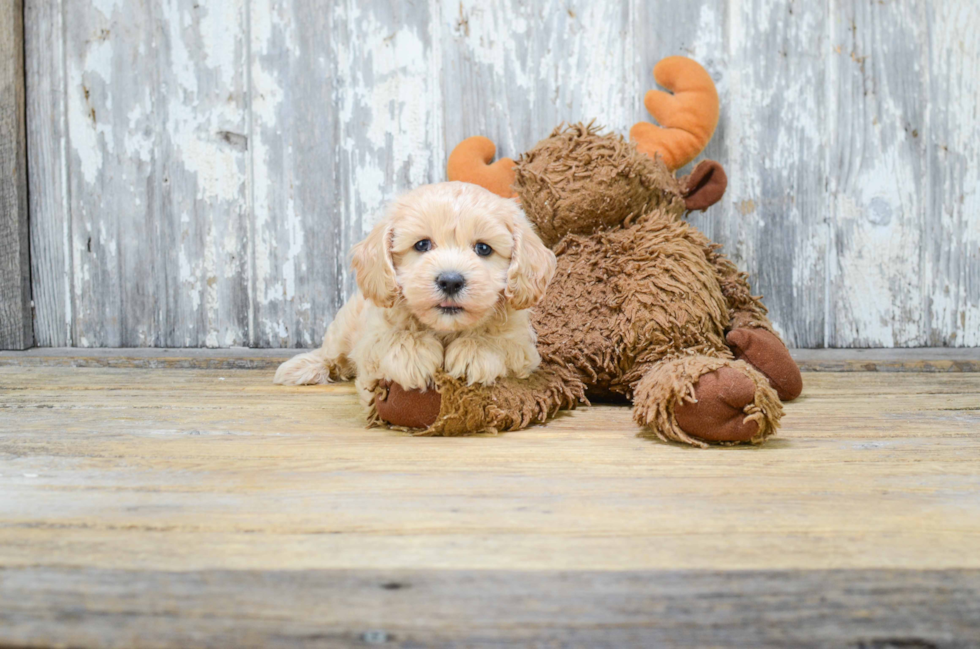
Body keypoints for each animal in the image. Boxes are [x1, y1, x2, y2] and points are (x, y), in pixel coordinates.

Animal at [276, 180, 556, 408]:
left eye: (483, 249)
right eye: (422, 244)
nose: (450, 281)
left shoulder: (523, 348)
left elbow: (503, 343)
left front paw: (476, 350)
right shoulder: (372, 338)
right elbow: (390, 339)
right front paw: (414, 354)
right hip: (344, 327)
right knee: (331, 353)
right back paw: (300, 368)